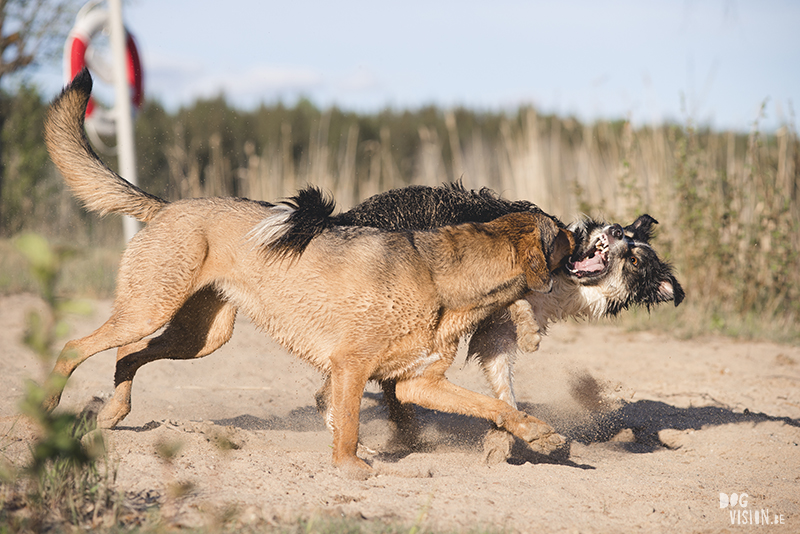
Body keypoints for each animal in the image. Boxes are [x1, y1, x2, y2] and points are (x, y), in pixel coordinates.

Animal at [42, 70, 576, 478]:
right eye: (560, 236)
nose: (584, 232)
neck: (441, 280)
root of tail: (169, 206)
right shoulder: (351, 367)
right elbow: (349, 423)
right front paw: (351, 467)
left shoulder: (417, 383)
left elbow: (497, 406)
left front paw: (540, 436)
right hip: (151, 308)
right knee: (75, 346)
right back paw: (49, 405)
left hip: (201, 335)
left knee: (128, 354)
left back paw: (113, 411)